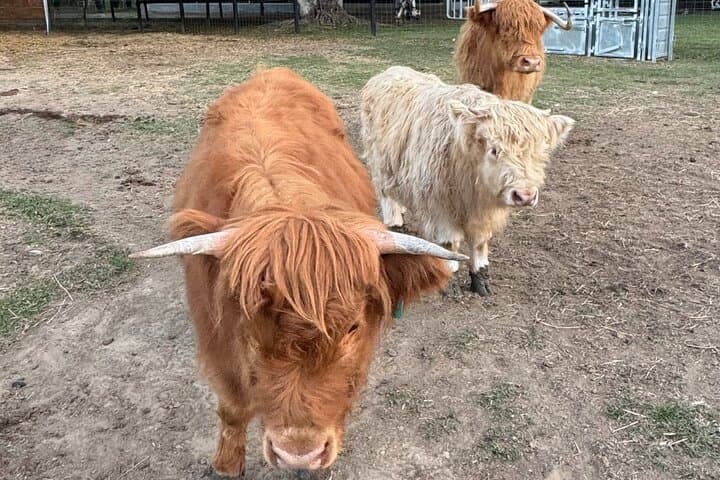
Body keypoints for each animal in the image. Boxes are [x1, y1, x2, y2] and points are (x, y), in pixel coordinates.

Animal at [129, 67, 466, 476]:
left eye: (353, 327)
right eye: (249, 324)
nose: (298, 453)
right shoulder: (217, 342)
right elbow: (232, 407)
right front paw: (227, 463)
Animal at [360, 66, 574, 296]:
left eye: (537, 153)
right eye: (494, 150)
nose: (524, 196)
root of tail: (391, 70)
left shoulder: (483, 213)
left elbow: (480, 243)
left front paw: (480, 280)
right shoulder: (439, 206)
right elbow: (449, 244)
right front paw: (448, 278)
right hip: (380, 163)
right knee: (386, 195)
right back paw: (394, 223)